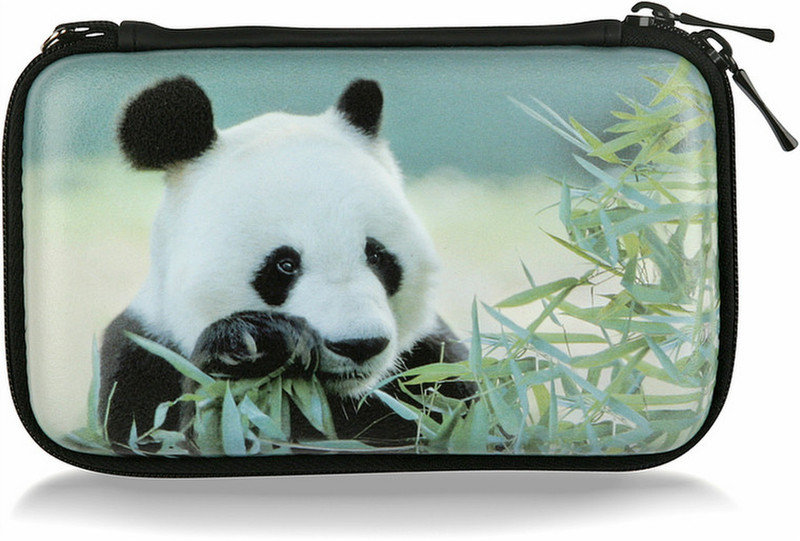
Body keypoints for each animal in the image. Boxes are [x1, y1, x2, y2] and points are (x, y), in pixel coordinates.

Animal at [98, 76, 472, 451]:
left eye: (377, 255)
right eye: (285, 265)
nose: (359, 344)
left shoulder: (431, 363)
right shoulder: (145, 359)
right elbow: (186, 431)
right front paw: (250, 347)